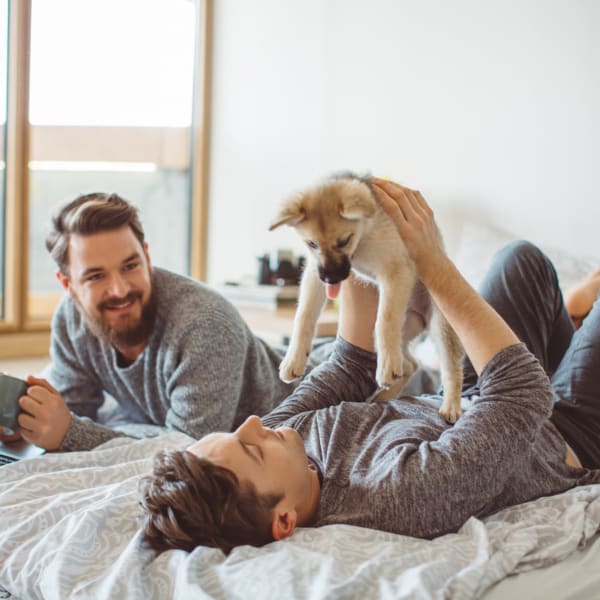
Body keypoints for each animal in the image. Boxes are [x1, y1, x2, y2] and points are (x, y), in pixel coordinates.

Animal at [270, 172, 464, 422]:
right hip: (399, 331)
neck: (364, 238)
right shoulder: (313, 272)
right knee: (411, 364)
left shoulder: (396, 271)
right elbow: (303, 315)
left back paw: (450, 405)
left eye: (343, 241)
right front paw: (294, 358)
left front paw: (387, 366)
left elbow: (386, 318)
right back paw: (383, 396)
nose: (331, 280)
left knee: (451, 368)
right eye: (312, 244)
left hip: (440, 325)